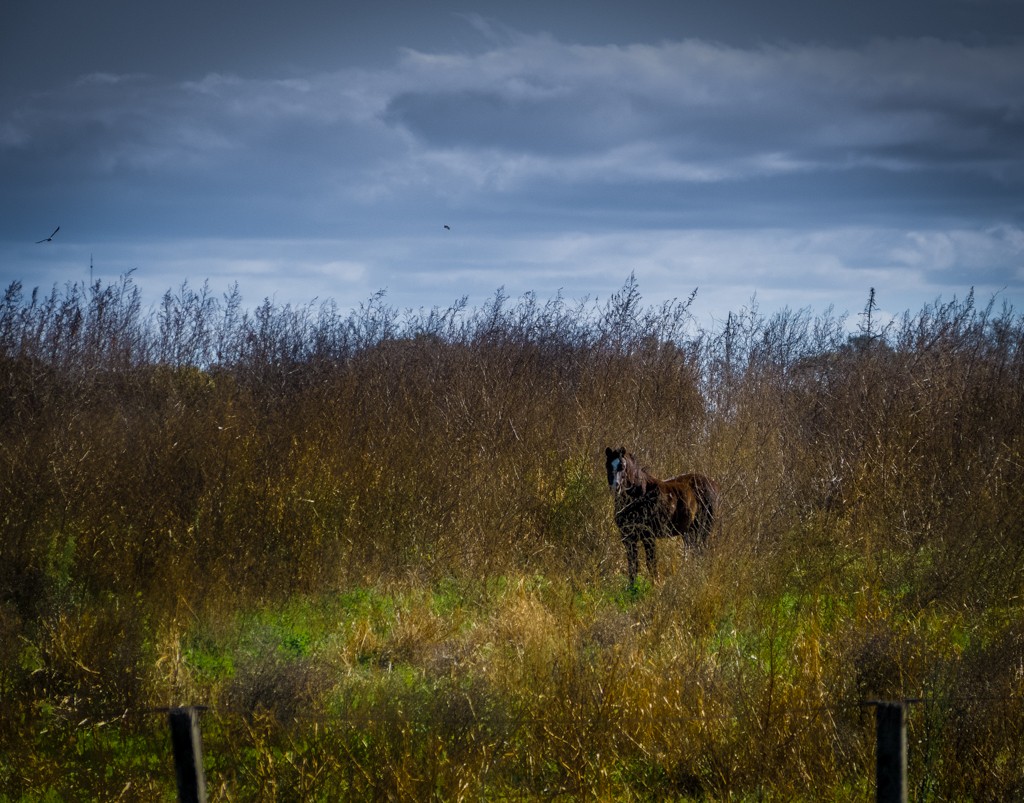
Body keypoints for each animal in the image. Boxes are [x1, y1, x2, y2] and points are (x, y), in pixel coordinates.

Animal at [606, 448, 720, 585]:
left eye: (622, 466)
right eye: (608, 465)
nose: (615, 486)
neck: (640, 496)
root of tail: (713, 484)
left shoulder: (649, 537)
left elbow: (651, 563)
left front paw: (655, 584)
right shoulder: (628, 538)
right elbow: (633, 565)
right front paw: (632, 586)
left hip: (703, 530)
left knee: (701, 553)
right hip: (690, 532)